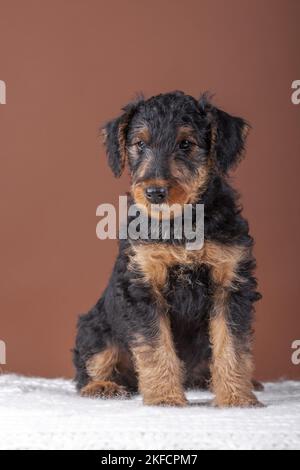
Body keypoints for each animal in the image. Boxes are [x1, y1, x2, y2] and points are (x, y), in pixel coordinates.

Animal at [73, 91, 262, 408]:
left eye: (186, 143)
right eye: (140, 144)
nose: (155, 193)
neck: (182, 221)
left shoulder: (231, 285)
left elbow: (232, 346)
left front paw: (237, 398)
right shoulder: (143, 287)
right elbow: (155, 347)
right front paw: (164, 397)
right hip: (95, 329)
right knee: (89, 366)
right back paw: (103, 386)